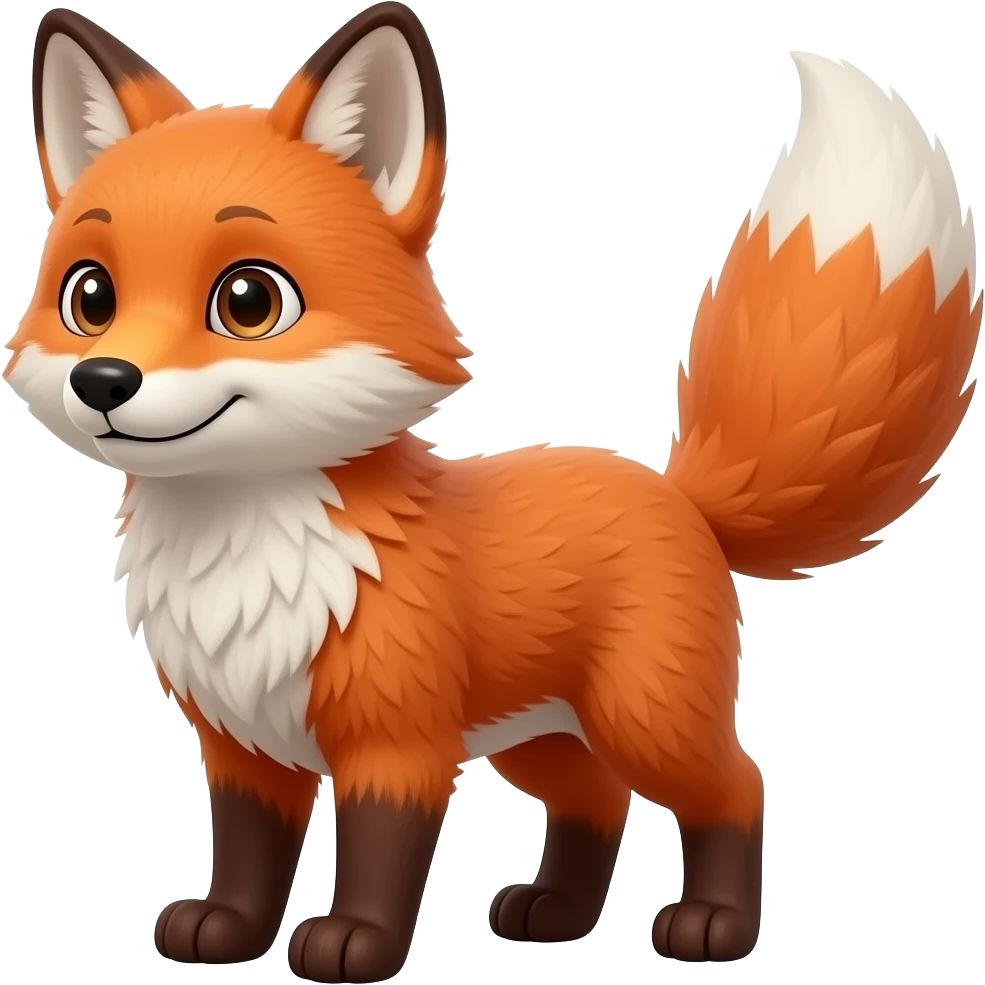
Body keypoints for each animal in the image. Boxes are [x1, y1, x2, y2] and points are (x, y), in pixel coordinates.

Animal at [5, 4, 982, 981]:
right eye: (90, 297)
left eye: (247, 300)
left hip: (642, 717)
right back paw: (555, 913)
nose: (103, 379)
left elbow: (379, 853)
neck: (245, 552)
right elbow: (248, 853)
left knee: (736, 784)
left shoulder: (398, 742)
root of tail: (678, 494)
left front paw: (356, 942)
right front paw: (229, 932)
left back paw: (714, 924)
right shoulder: (240, 744)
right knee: (598, 800)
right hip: (541, 738)